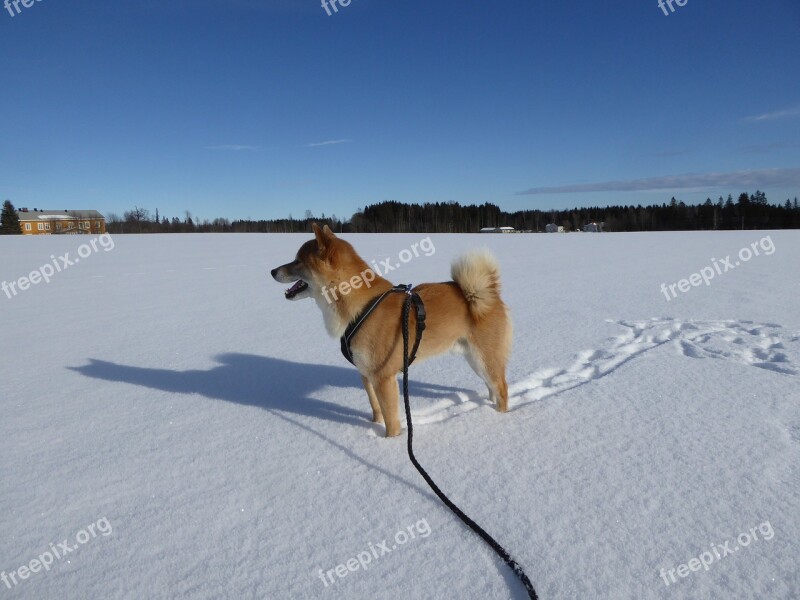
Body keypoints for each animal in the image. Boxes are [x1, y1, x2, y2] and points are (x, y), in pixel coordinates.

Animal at [272, 224, 512, 436]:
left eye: (297, 261)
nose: (272, 270)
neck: (359, 307)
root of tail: (485, 293)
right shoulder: (366, 374)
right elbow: (376, 408)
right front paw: (374, 428)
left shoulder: (383, 378)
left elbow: (391, 420)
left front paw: (389, 442)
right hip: (475, 360)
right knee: (492, 387)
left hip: (484, 358)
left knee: (501, 388)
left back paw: (499, 416)